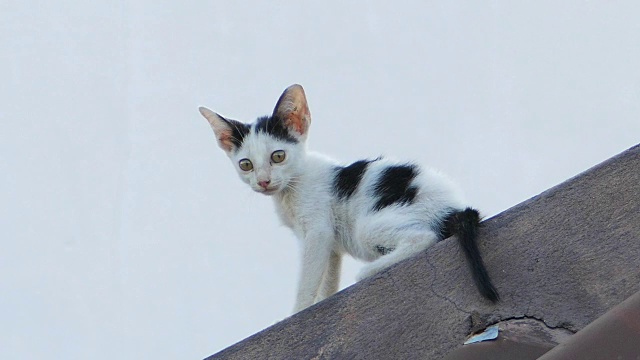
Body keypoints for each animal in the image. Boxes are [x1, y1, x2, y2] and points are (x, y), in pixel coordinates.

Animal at [198, 83, 498, 312]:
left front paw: (297, 312)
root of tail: (455, 207)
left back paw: (370, 271)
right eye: (246, 165)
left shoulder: (317, 230)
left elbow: (307, 281)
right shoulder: (328, 243)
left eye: (278, 156)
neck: (292, 188)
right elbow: (327, 279)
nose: (263, 181)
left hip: (370, 226)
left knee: (425, 237)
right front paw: (323, 300)